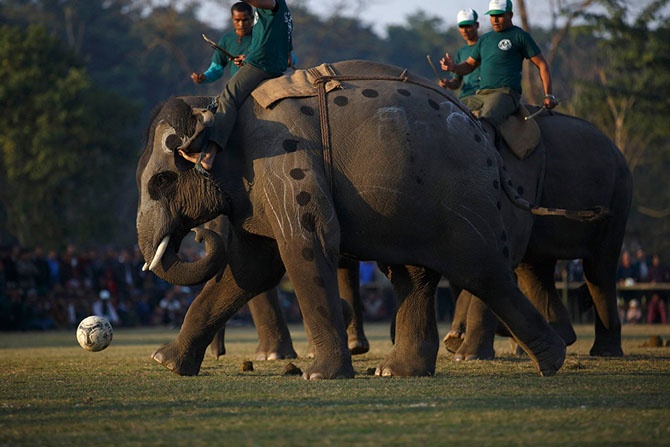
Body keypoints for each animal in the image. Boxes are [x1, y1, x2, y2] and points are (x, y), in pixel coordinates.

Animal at [135, 59, 604, 380]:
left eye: (161, 180)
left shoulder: (287, 163)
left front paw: (320, 377)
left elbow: (306, 244)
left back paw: (551, 360)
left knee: (482, 270)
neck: (219, 109)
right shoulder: (259, 187)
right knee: (414, 274)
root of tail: (482, 136)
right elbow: (252, 269)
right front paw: (166, 362)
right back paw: (398, 372)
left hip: (463, 195)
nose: (197, 237)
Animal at [444, 110, 632, 362]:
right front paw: (456, 341)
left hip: (617, 199)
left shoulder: (517, 181)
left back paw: (604, 352)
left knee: (599, 269)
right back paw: (559, 335)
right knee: (536, 269)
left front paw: (466, 356)